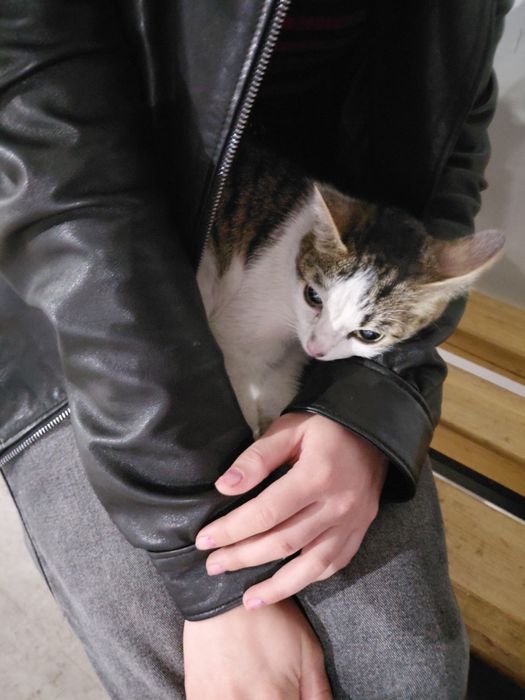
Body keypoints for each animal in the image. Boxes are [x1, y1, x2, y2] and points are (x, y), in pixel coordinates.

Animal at [196, 144, 504, 437]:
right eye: (313, 296)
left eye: (369, 335)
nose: (316, 348)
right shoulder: (237, 340)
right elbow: (239, 390)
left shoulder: (289, 361)